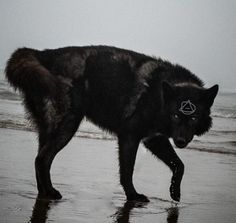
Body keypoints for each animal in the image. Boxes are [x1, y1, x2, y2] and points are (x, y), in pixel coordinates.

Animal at [5, 45, 218, 202]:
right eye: (175, 115)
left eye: (193, 118)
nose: (181, 141)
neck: (159, 96)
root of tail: (44, 54)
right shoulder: (130, 136)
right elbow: (127, 171)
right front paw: (132, 196)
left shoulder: (154, 139)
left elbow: (179, 165)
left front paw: (175, 191)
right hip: (67, 126)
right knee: (42, 159)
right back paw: (50, 192)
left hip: (50, 129)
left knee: (40, 159)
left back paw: (44, 192)